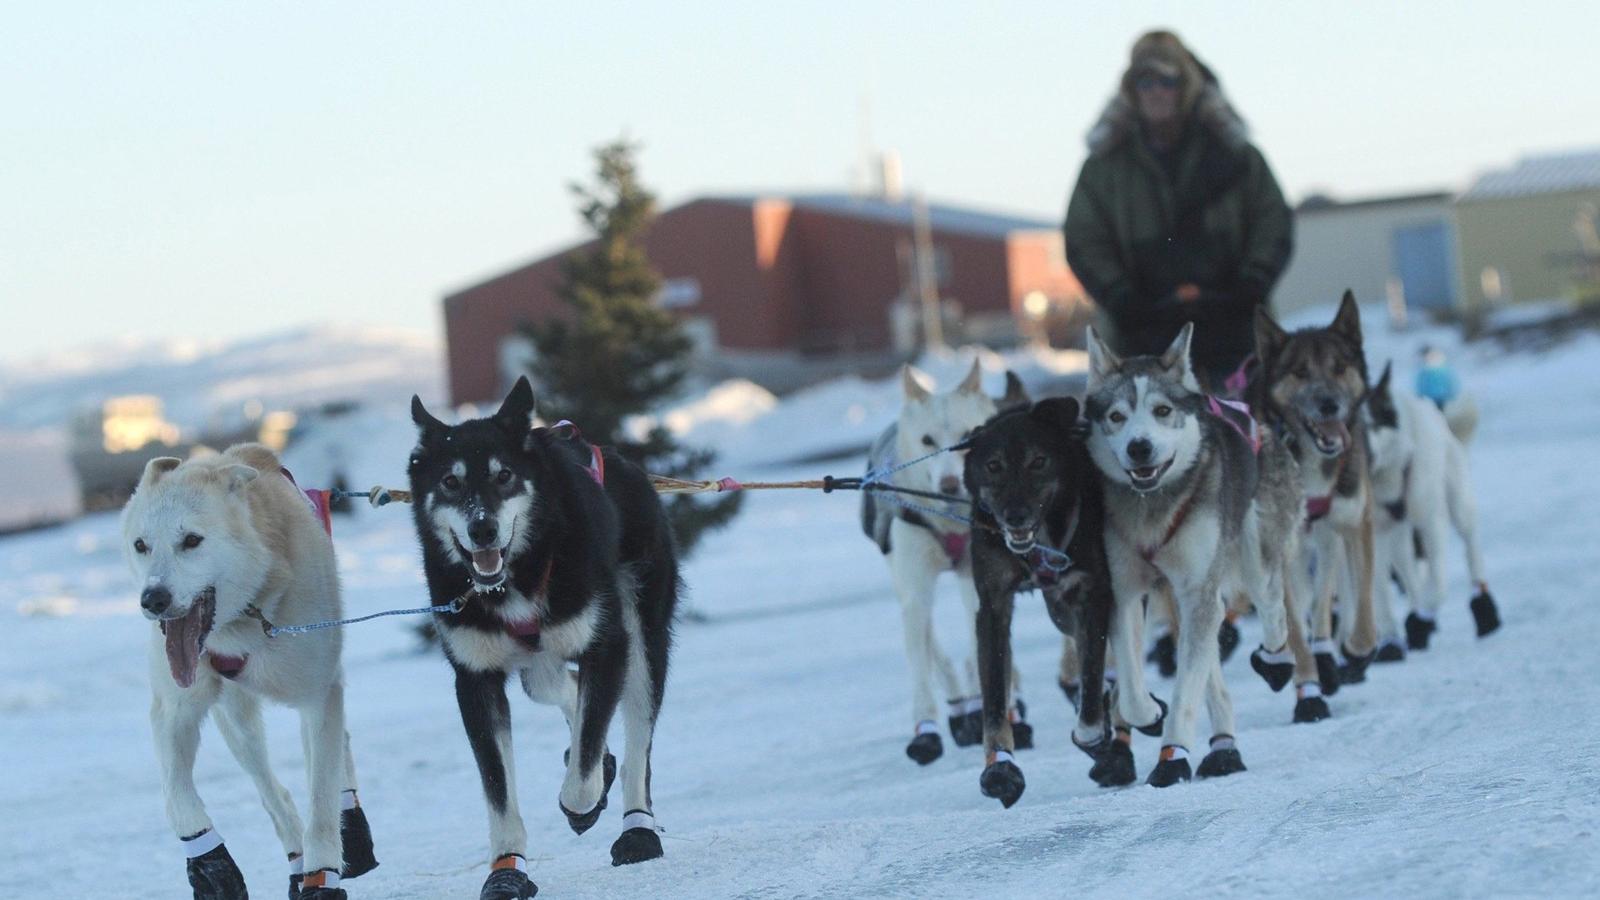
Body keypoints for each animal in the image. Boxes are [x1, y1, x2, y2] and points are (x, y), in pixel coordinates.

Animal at [121, 441, 374, 896]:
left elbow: (321, 801)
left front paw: (322, 877)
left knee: (332, 760)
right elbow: (175, 796)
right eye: (141, 545)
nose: (153, 599)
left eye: (191, 540)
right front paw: (210, 864)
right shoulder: (174, 709)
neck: (245, 619)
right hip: (238, 724)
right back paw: (295, 861)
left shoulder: (319, 695)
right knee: (274, 793)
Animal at [409, 374, 678, 890]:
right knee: (566, 688)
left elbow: (584, 771)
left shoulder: (607, 647)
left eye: (504, 476)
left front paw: (585, 801)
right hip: (540, 666)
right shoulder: (475, 681)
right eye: (450, 481)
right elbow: (499, 792)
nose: (483, 529)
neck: (517, 577)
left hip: (641, 638)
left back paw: (636, 828)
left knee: (636, 735)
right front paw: (506, 870)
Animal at [960, 393, 1126, 807]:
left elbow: (1092, 681)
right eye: (993, 465)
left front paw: (1097, 738)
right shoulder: (993, 608)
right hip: (1059, 610)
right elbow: (993, 698)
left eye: (1038, 461)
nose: (1015, 516)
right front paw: (1000, 768)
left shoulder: (1094, 594)